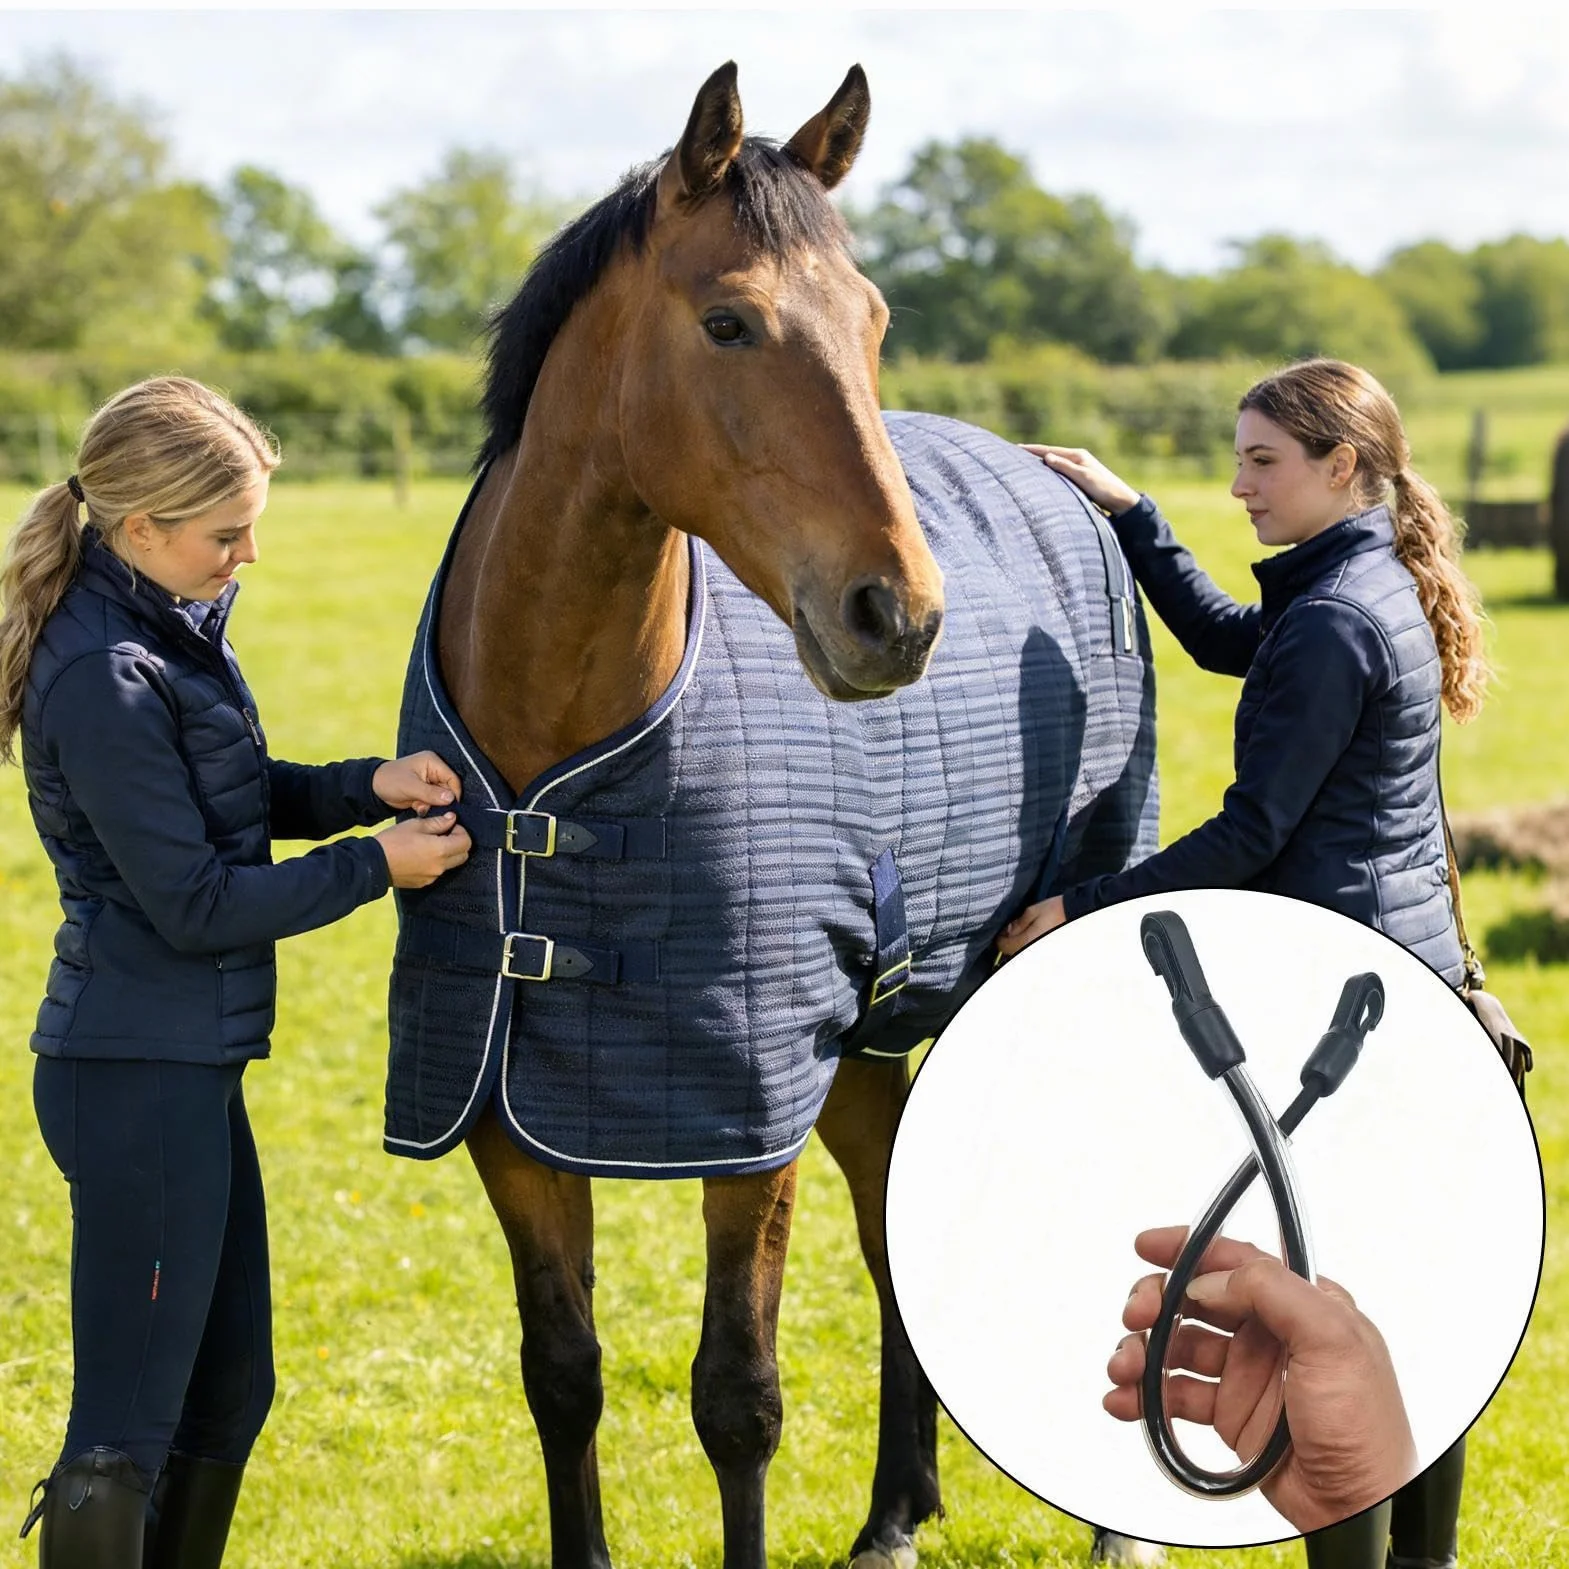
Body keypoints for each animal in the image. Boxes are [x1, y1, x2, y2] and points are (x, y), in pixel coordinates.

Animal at [383, 62, 1158, 1569]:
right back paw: (896, 1510)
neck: (552, 770)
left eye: (874, 323)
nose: (896, 614)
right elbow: (561, 1374)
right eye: (728, 321)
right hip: (866, 1032)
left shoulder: (748, 1114)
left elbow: (735, 1396)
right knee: (891, 1215)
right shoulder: (504, 1107)